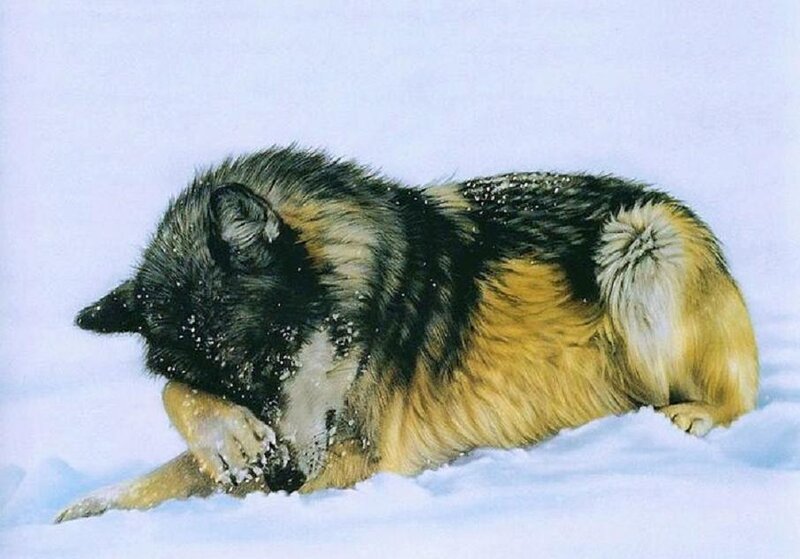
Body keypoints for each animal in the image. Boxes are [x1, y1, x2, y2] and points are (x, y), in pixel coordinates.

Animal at [56, 146, 758, 522]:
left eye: (274, 359)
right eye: (225, 382)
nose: (282, 480)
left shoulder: (353, 455)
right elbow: (174, 423)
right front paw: (84, 508)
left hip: (641, 242)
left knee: (737, 400)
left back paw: (687, 417)